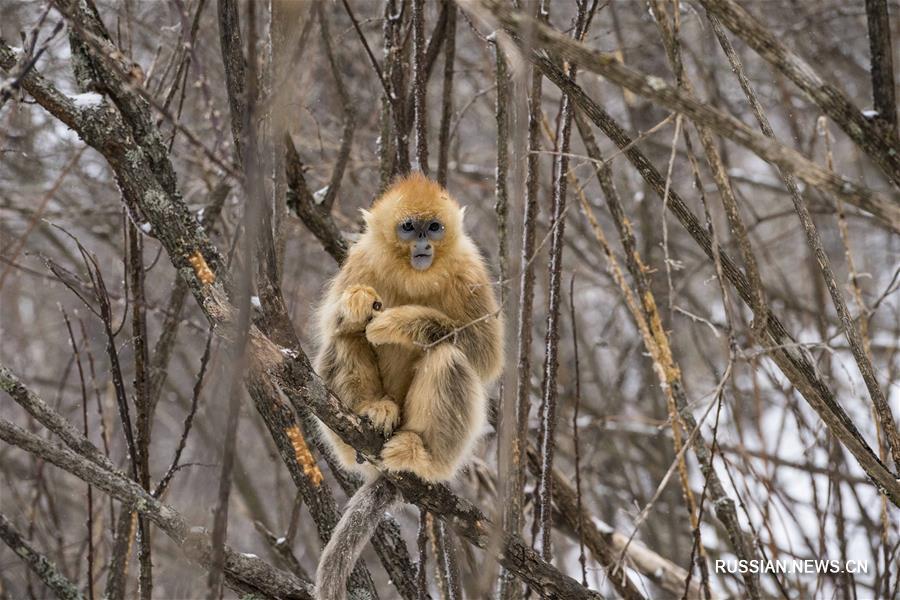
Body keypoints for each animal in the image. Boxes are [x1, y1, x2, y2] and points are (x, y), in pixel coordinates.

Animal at [312, 171, 502, 596]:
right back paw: (373, 412)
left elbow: (485, 354)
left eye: (434, 227)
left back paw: (420, 455)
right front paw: (356, 306)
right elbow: (331, 325)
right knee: (343, 338)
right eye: (408, 227)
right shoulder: (360, 261)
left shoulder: (470, 272)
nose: (422, 244)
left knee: (448, 356)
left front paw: (400, 323)